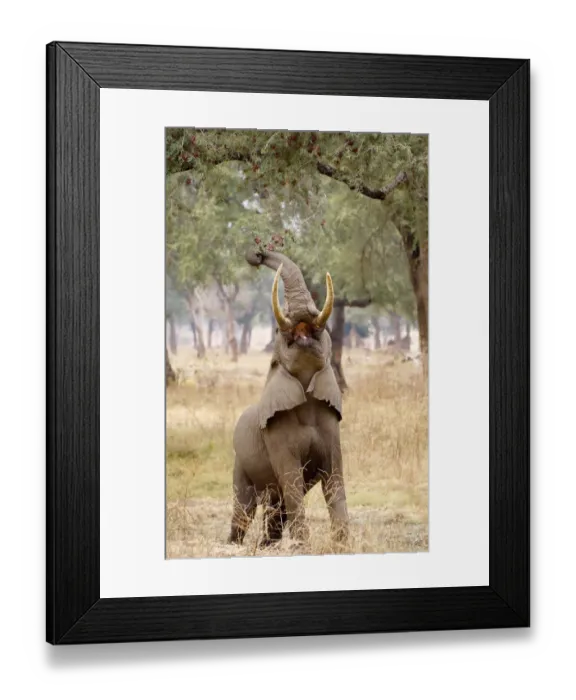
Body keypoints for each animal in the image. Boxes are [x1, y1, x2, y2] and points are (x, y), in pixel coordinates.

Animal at [228, 248, 349, 549]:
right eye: (278, 334)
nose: (255, 255)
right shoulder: (275, 434)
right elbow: (291, 479)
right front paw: (303, 546)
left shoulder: (332, 426)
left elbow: (335, 476)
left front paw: (343, 545)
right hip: (240, 462)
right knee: (245, 507)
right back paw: (234, 545)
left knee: (276, 505)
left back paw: (266, 546)